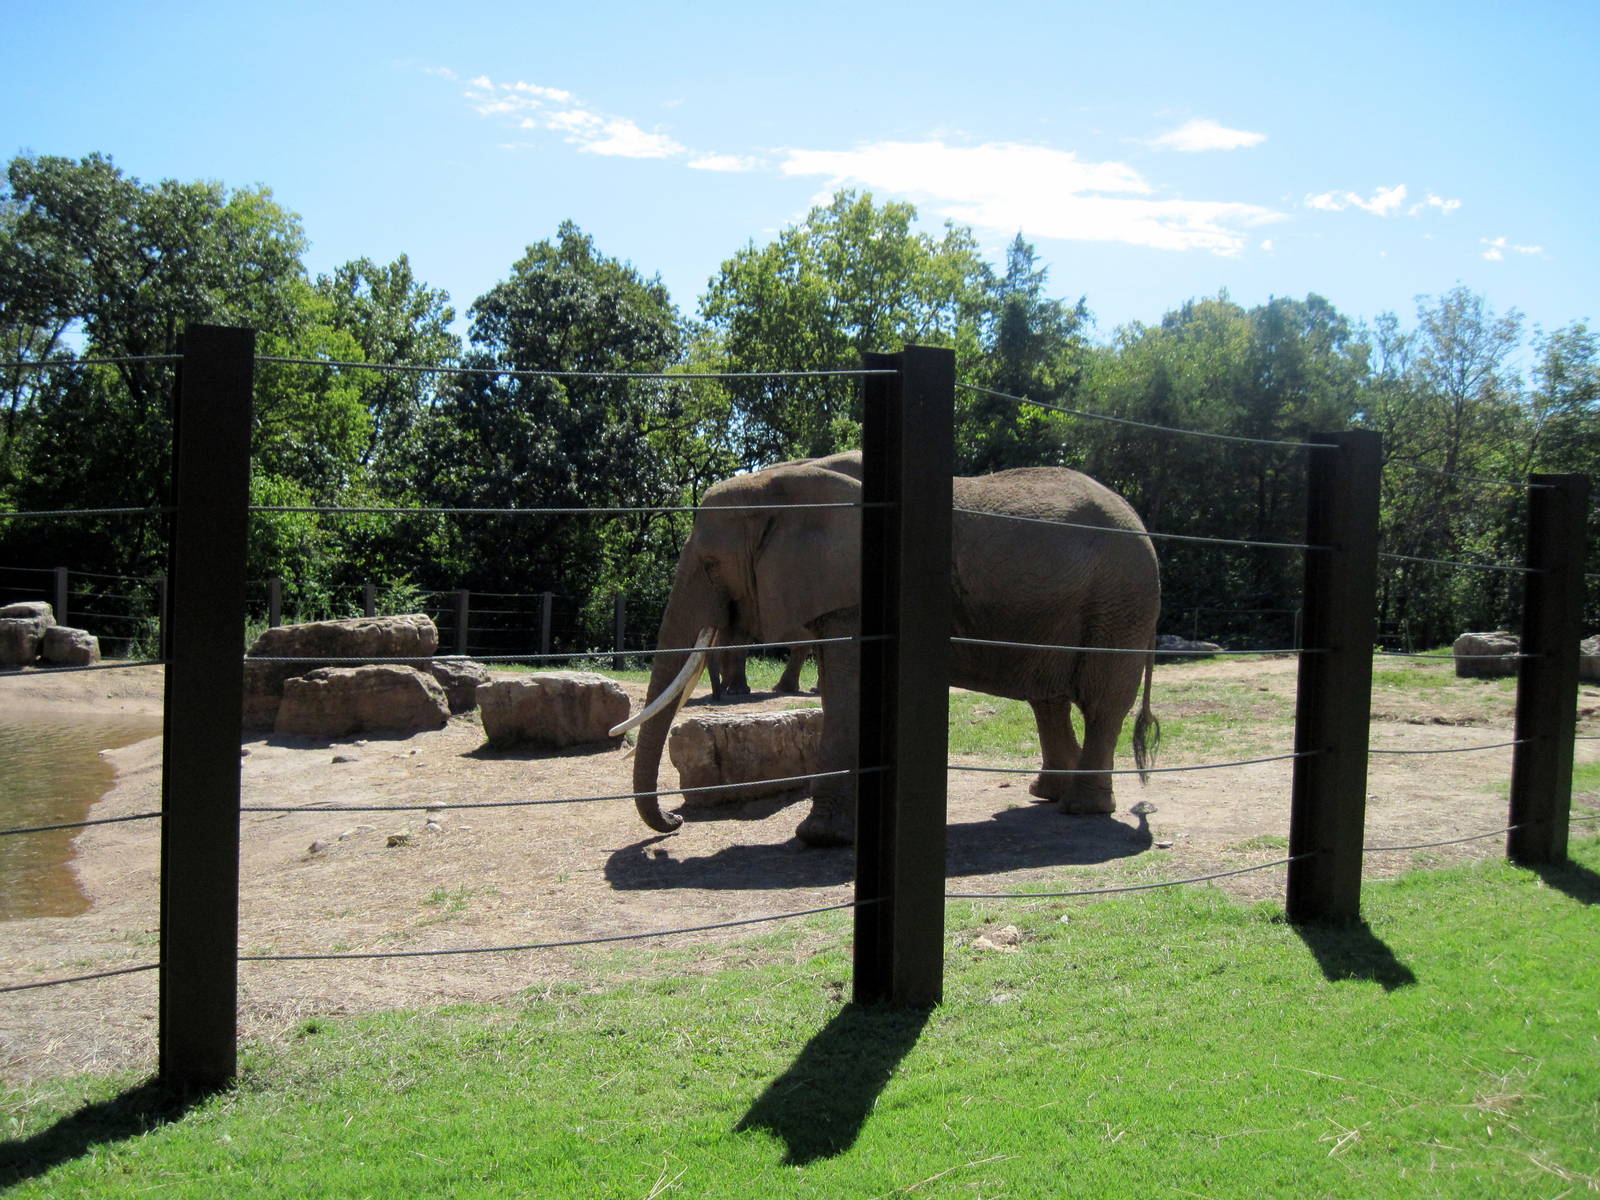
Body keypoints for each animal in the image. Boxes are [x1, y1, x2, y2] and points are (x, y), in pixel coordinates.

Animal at [611, 457, 1160, 847]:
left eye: (710, 563)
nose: (675, 821)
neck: (780, 481)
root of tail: (1141, 521)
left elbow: (851, 692)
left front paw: (821, 839)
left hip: (1120, 603)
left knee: (1102, 700)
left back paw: (1081, 809)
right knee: (1047, 699)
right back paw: (1045, 795)